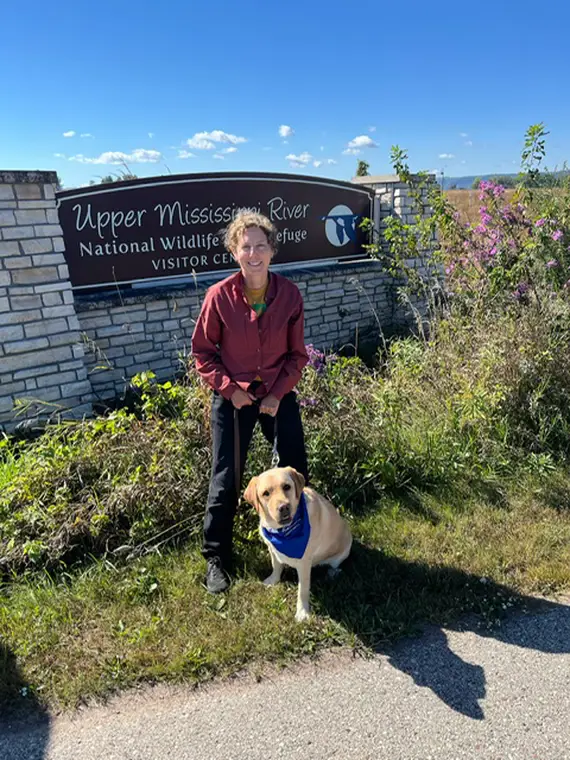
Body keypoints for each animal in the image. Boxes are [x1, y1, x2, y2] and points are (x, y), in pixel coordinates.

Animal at [243, 466, 350, 620]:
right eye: (266, 493)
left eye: (286, 486)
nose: (283, 507)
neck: (282, 531)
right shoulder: (272, 549)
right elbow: (276, 566)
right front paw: (273, 580)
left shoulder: (304, 563)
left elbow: (302, 589)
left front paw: (302, 612)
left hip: (342, 551)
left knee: (335, 565)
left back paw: (332, 572)